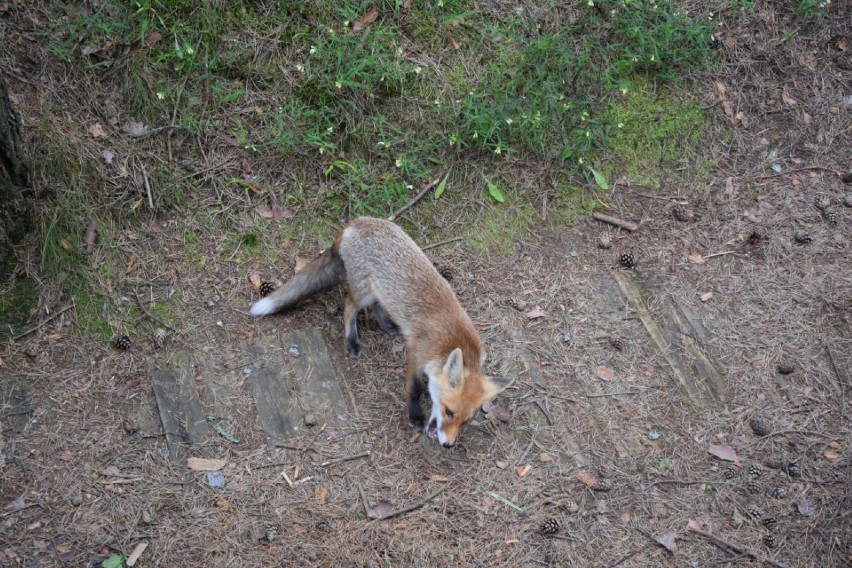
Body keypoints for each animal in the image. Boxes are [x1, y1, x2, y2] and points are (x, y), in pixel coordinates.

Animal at [248, 217, 512, 448]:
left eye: (465, 421)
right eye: (449, 411)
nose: (447, 445)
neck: (453, 343)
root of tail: (355, 222)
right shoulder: (416, 353)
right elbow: (415, 389)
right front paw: (415, 417)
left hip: (378, 290)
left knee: (377, 305)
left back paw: (387, 325)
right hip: (363, 293)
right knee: (348, 307)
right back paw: (352, 341)